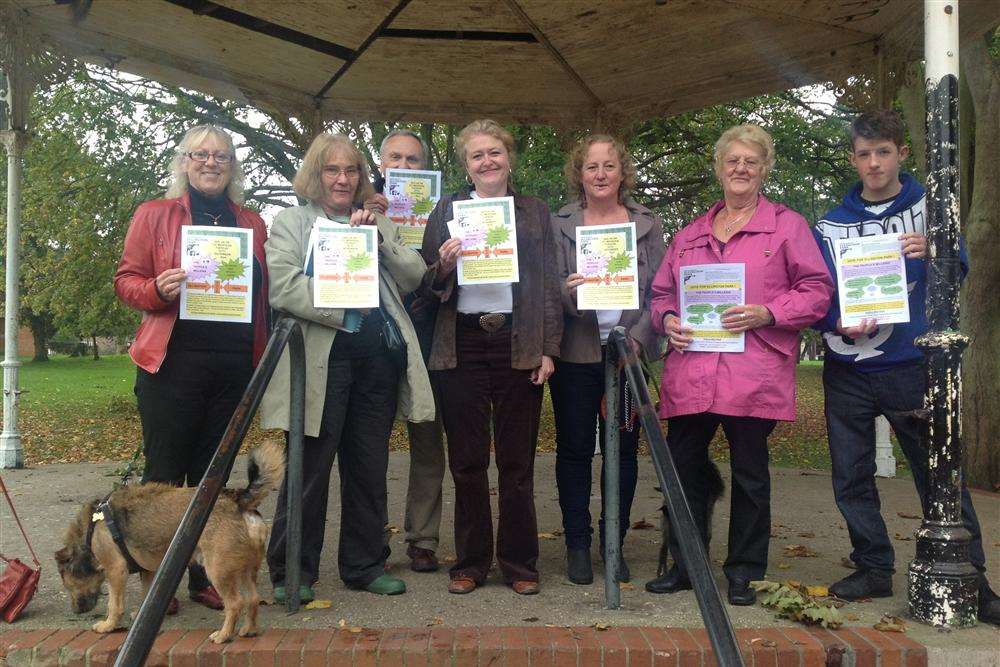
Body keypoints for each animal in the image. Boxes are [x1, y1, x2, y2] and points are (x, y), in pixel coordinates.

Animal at [54, 440, 284, 644]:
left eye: (67, 583)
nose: (76, 611)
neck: (92, 527)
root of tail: (238, 500)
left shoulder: (115, 570)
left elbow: (114, 604)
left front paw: (109, 625)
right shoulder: (149, 571)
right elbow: (147, 594)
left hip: (218, 571)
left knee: (235, 603)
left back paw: (224, 635)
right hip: (245, 569)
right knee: (252, 599)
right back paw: (249, 630)